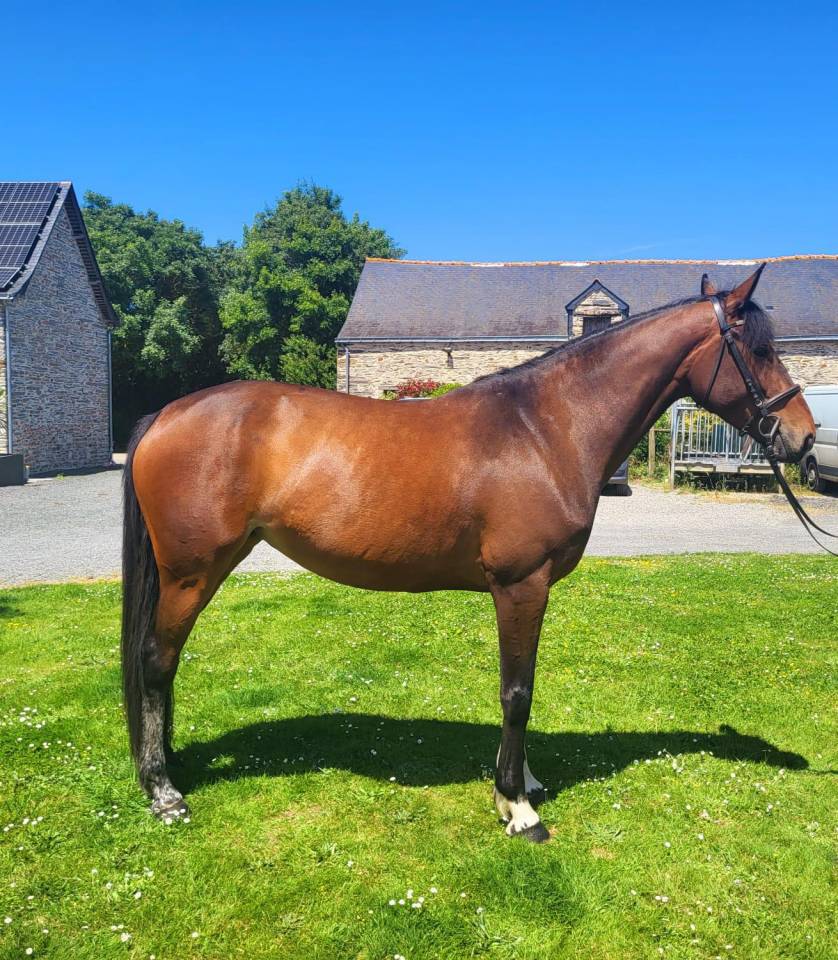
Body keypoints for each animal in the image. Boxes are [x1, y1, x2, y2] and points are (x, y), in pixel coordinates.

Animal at [121, 264, 816, 841]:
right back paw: (165, 792)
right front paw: (518, 806)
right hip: (191, 574)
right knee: (156, 662)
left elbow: (523, 684)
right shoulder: (521, 584)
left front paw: (525, 782)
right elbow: (517, 691)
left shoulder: (529, 589)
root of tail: (165, 415)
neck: (547, 428)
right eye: (758, 349)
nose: (804, 439)